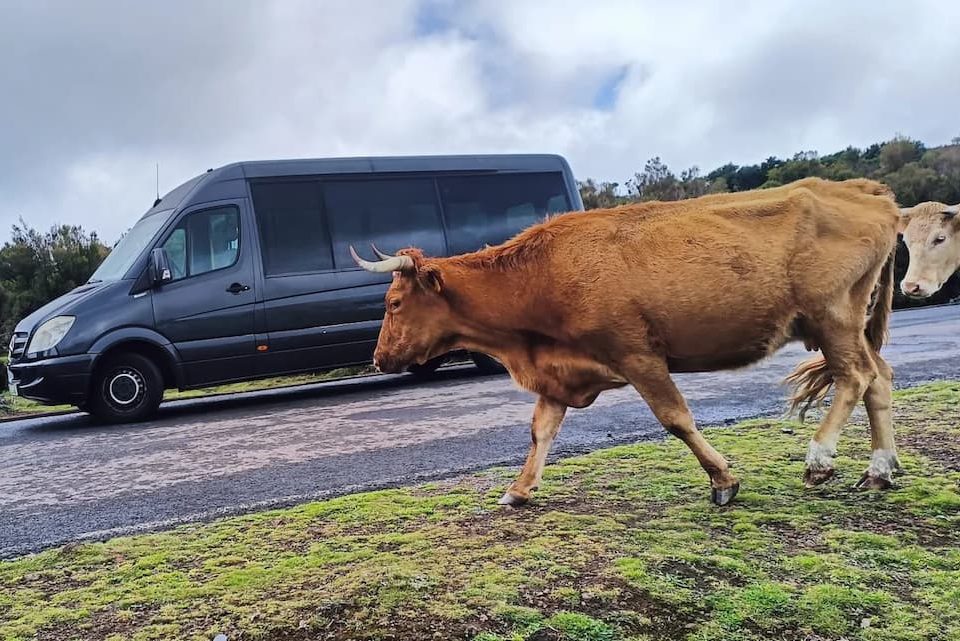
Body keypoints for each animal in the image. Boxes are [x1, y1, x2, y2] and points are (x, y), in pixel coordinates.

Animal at [350, 176, 900, 504]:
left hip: (831, 316)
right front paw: (519, 490)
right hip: (847, 323)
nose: (378, 358)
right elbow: (540, 431)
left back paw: (819, 459)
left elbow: (676, 419)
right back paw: (879, 470)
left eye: (392, 303)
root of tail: (861, 189)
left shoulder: (637, 354)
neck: (542, 277)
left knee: (856, 377)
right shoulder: (560, 374)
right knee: (879, 380)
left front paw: (723, 480)